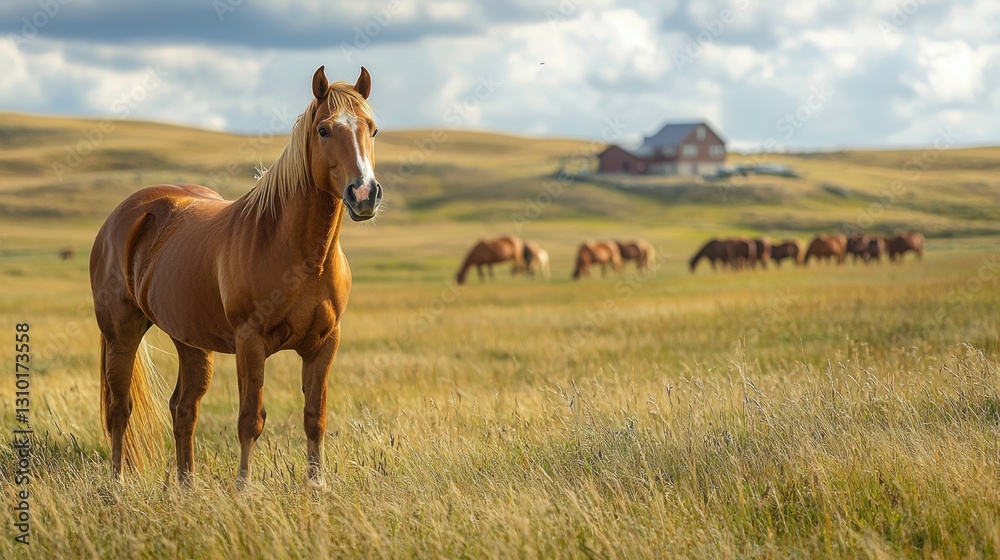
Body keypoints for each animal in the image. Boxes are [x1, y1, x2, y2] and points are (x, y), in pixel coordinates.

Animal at [90, 66, 382, 486]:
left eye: (372, 129)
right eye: (324, 130)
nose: (364, 194)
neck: (300, 254)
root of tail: (124, 213)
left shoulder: (324, 343)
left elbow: (315, 418)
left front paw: (316, 485)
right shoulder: (251, 342)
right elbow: (250, 420)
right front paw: (243, 486)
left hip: (190, 341)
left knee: (183, 408)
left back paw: (186, 485)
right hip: (121, 334)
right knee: (119, 409)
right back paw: (117, 484)